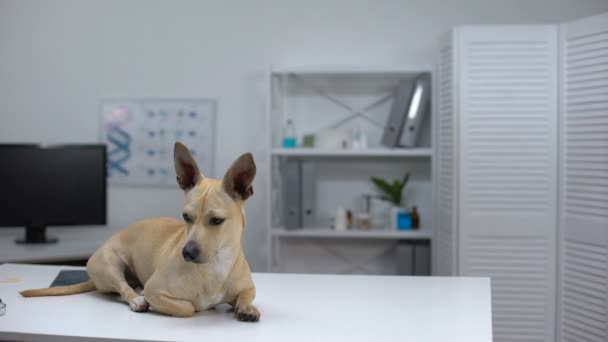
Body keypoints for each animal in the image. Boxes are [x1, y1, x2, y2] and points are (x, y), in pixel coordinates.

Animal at [19, 141, 258, 320]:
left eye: (217, 220)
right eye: (185, 217)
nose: (186, 253)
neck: (215, 266)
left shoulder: (248, 287)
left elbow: (246, 295)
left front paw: (247, 308)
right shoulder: (156, 290)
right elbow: (188, 307)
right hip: (109, 263)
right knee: (123, 288)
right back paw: (137, 298)